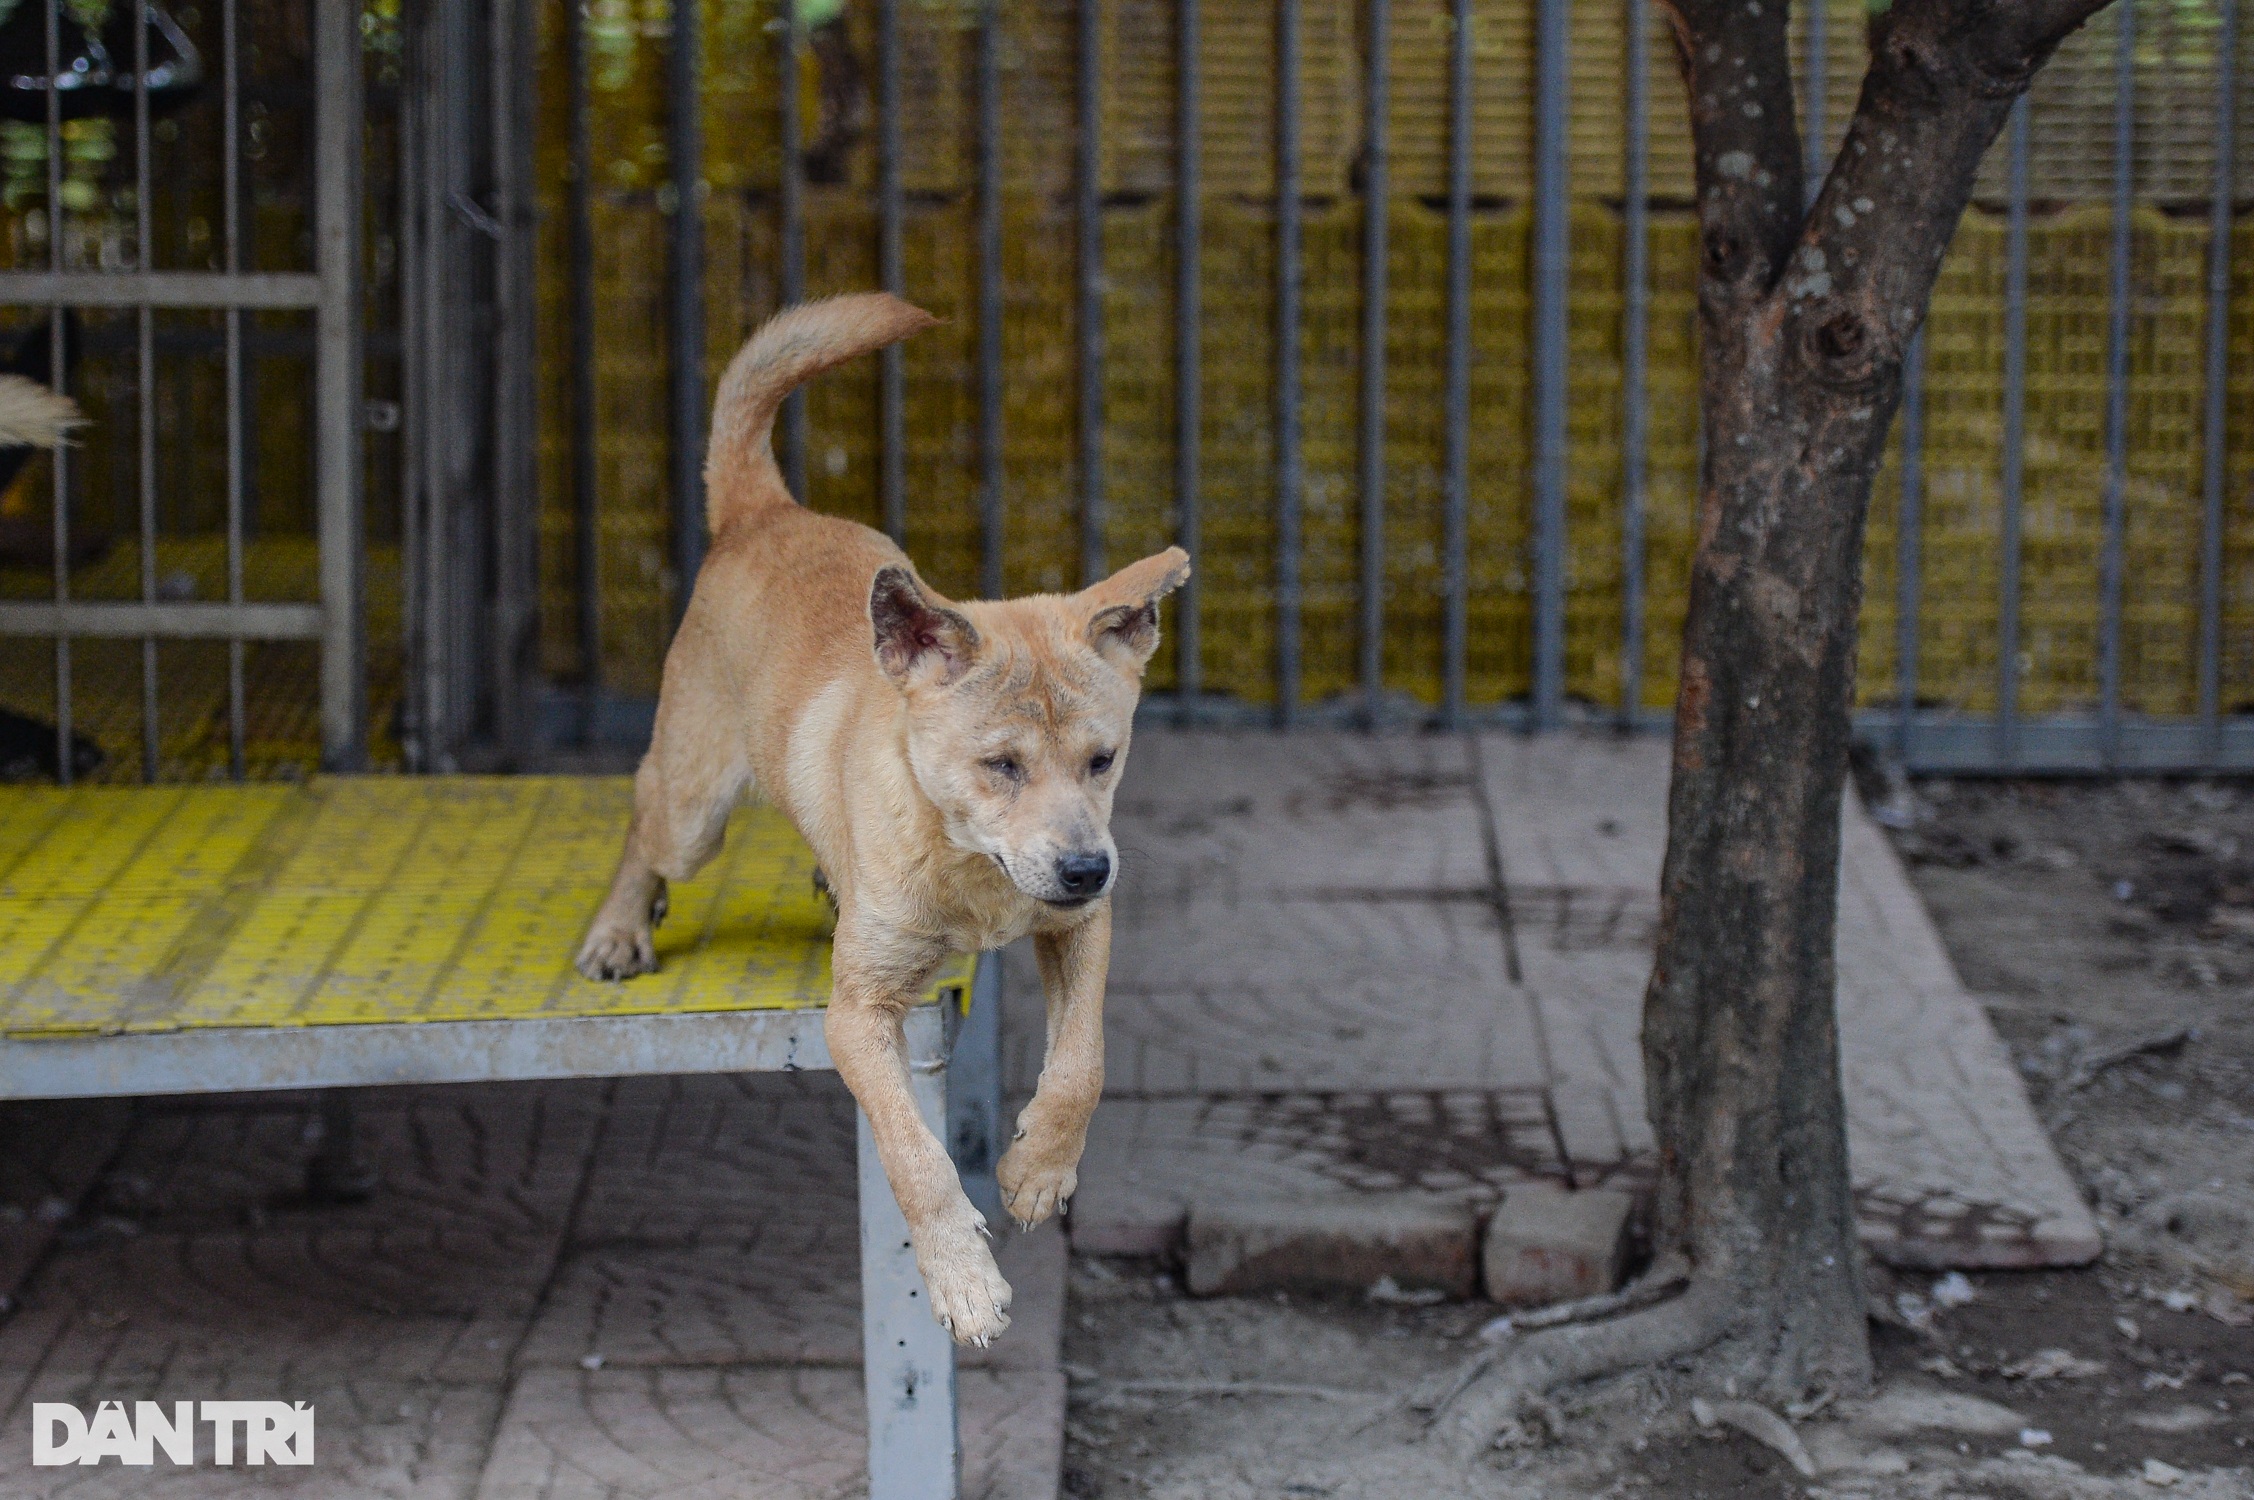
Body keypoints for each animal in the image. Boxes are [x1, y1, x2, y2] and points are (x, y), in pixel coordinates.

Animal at [572, 293, 1190, 1344]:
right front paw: (962, 1280)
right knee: (641, 823)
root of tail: (765, 513)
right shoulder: (855, 1015)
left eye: (1103, 760)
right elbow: (914, 1156)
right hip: (693, 809)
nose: (1085, 868)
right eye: (1001, 766)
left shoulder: (1081, 930)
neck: (968, 867)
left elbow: (1083, 1062)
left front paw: (1038, 1171)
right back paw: (619, 930)